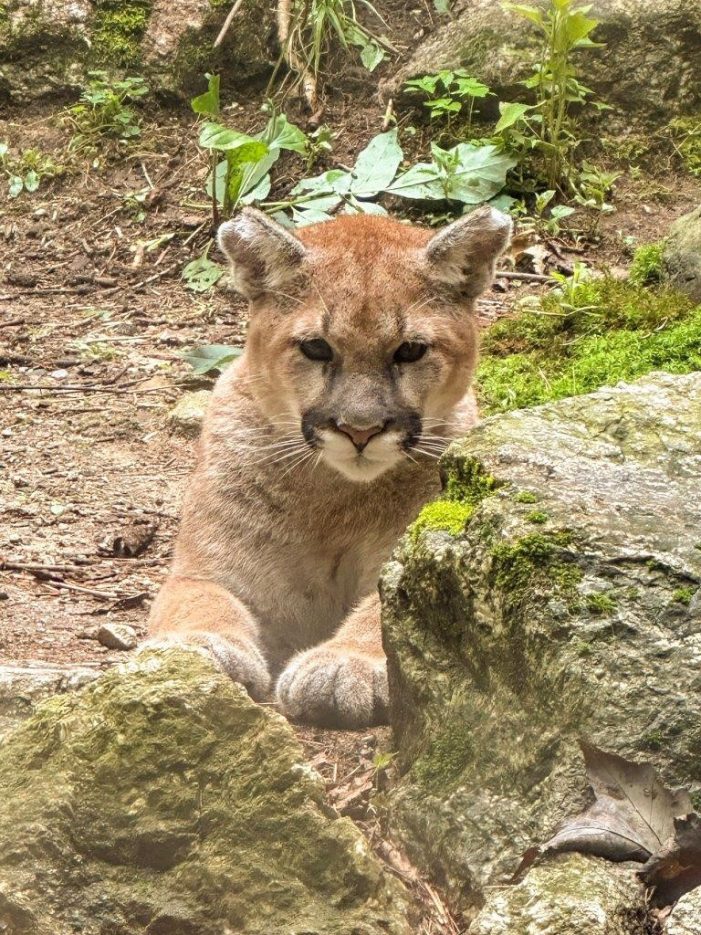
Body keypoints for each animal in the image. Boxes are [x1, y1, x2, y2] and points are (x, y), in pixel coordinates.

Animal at [146, 207, 508, 732]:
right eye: (316, 348)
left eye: (410, 350)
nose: (360, 429)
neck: (335, 497)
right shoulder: (207, 570)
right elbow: (199, 603)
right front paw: (198, 651)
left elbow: (381, 613)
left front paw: (344, 665)